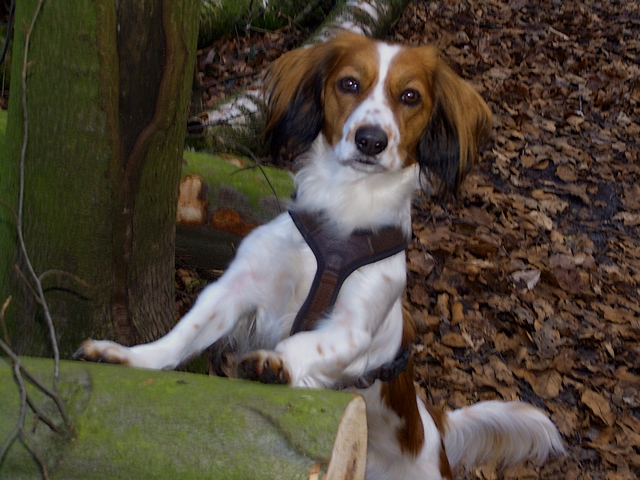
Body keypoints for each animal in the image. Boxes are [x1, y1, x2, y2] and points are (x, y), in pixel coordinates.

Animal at [76, 32, 564, 480]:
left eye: (410, 96)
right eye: (349, 84)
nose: (371, 140)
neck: (341, 218)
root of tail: (432, 425)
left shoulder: (354, 325)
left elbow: (308, 342)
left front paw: (277, 362)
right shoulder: (237, 285)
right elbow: (184, 333)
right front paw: (131, 356)